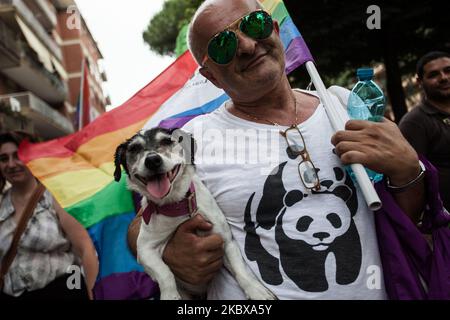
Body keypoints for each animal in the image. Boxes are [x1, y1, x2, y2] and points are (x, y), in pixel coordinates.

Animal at [113, 127, 274, 300]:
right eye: (134, 149)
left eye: (166, 141)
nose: (152, 160)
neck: (180, 207)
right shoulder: (144, 248)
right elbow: (164, 272)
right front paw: (170, 295)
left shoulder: (225, 239)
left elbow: (240, 270)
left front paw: (256, 290)